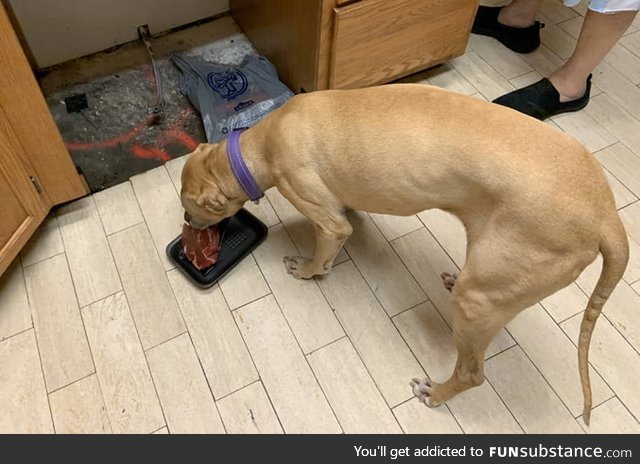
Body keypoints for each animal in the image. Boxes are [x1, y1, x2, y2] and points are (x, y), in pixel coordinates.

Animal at [181, 83, 632, 424]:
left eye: (188, 207)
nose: (187, 224)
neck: (257, 146)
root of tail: (606, 216)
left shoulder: (324, 218)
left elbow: (325, 249)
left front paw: (307, 268)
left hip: (481, 298)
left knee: (472, 372)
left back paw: (437, 392)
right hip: (495, 278)